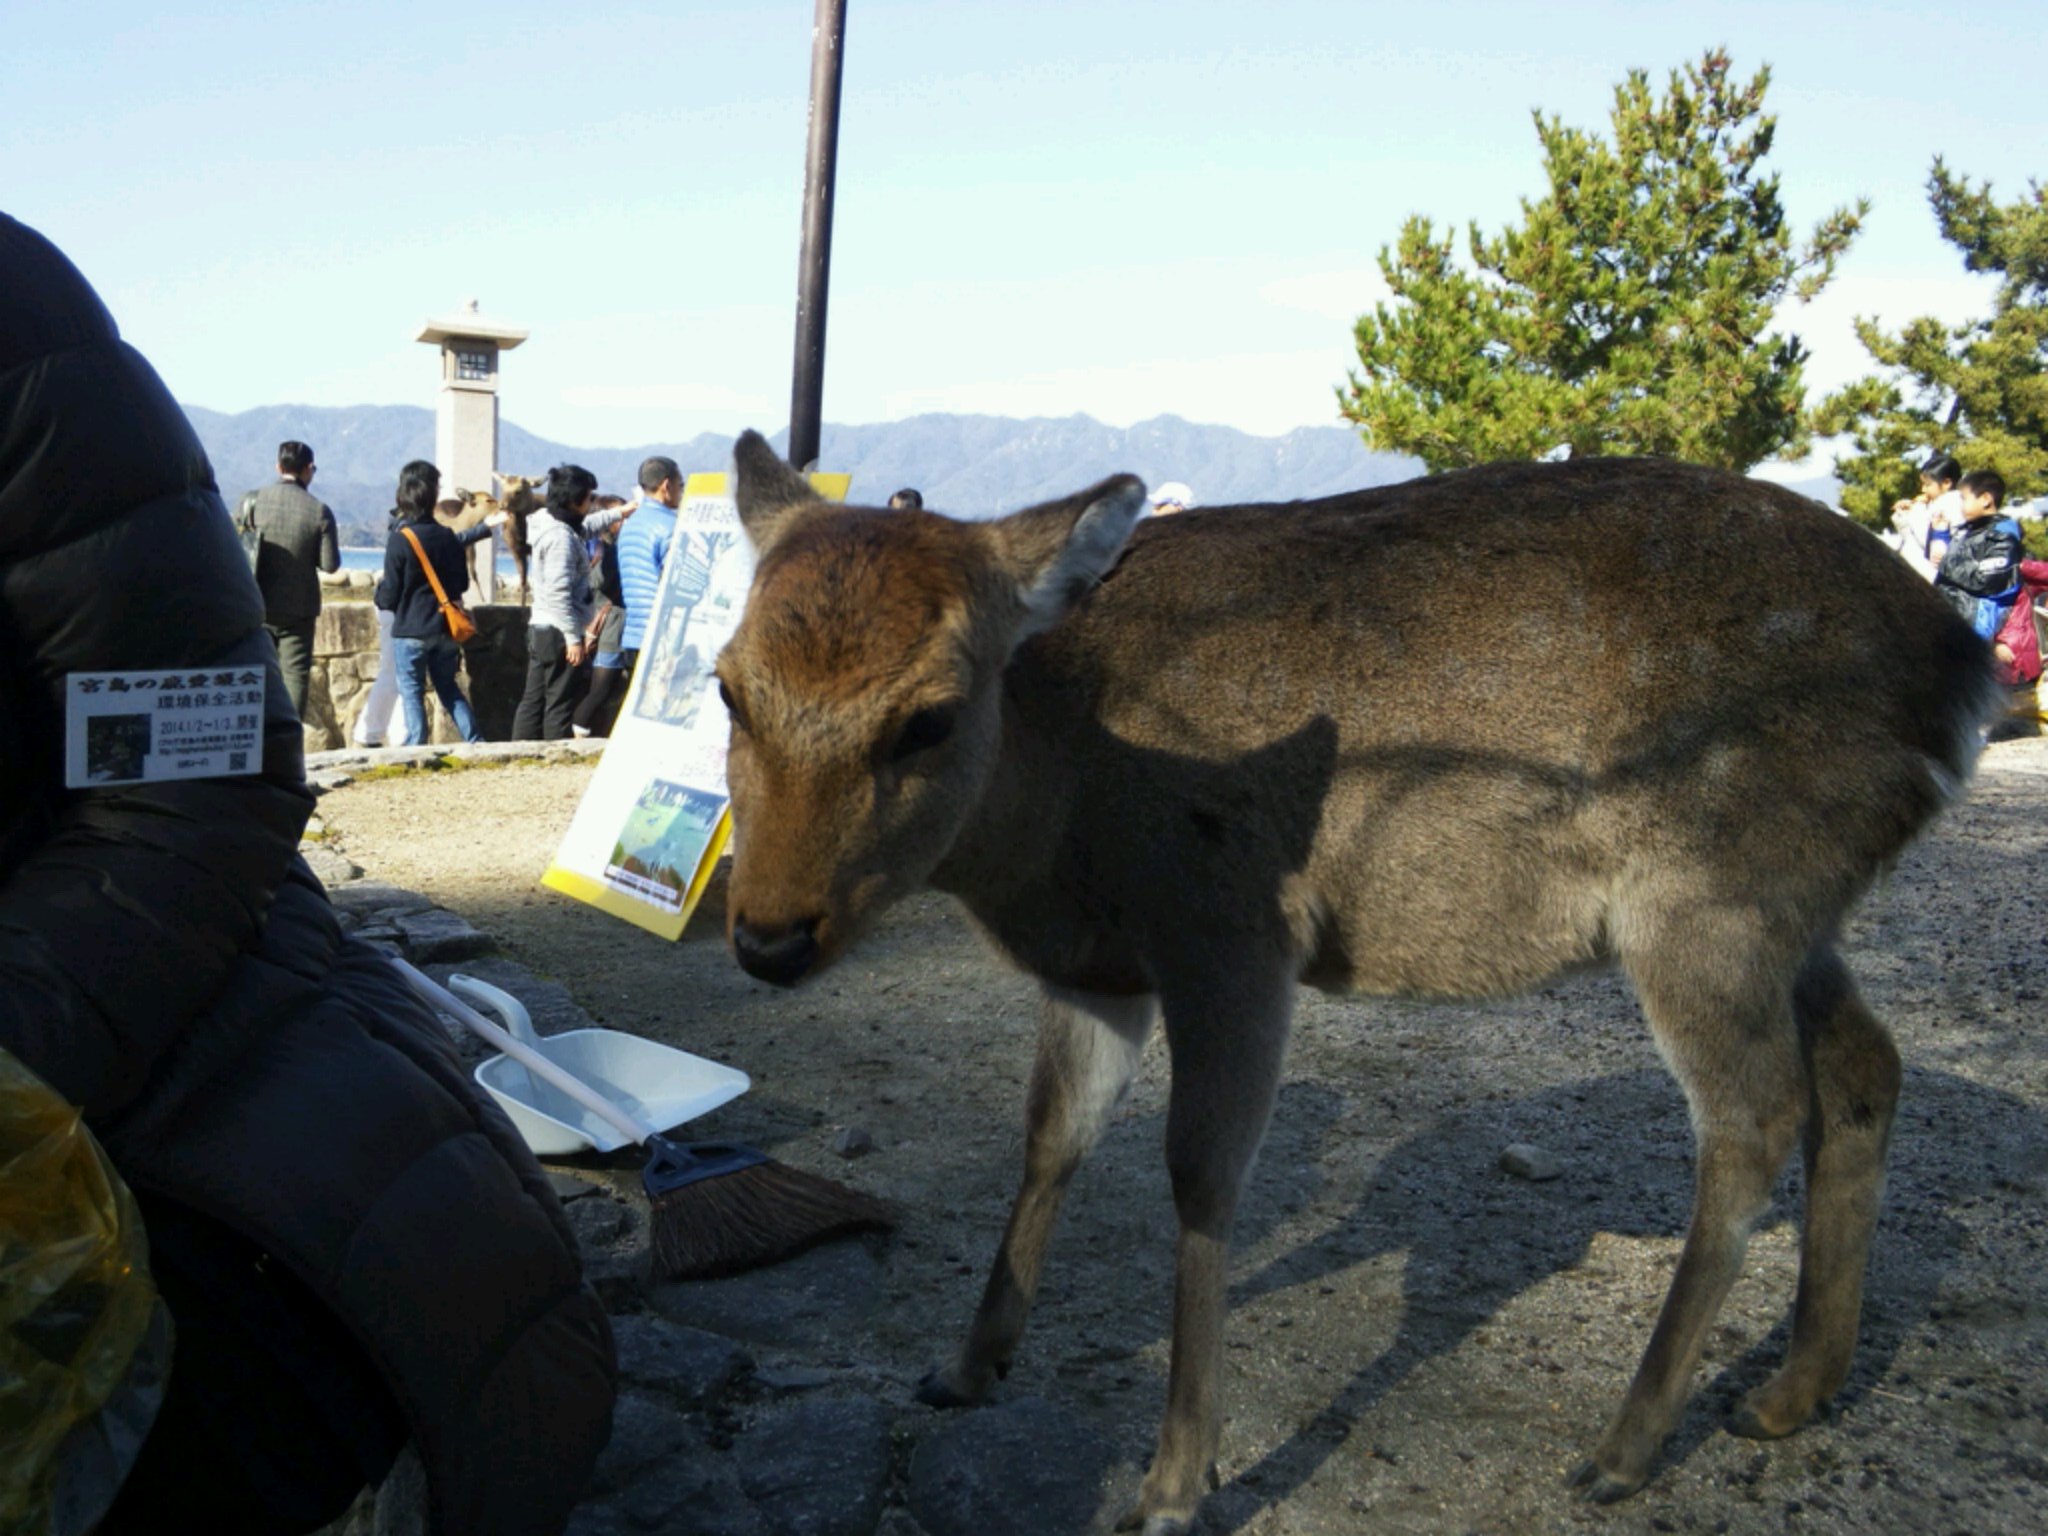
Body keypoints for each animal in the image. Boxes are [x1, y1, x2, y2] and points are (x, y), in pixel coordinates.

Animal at [711, 429, 1999, 1536]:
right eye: (726, 685)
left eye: (928, 717)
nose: (767, 937)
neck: (1058, 827)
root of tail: (1963, 675)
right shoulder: (1098, 971)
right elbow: (1049, 1141)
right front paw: (965, 1366)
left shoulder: (1231, 926)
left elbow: (1200, 1175)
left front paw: (1174, 1482)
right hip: (1795, 913)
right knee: (1862, 1069)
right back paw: (1790, 1390)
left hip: (1708, 901)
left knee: (1752, 1118)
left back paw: (1622, 1450)